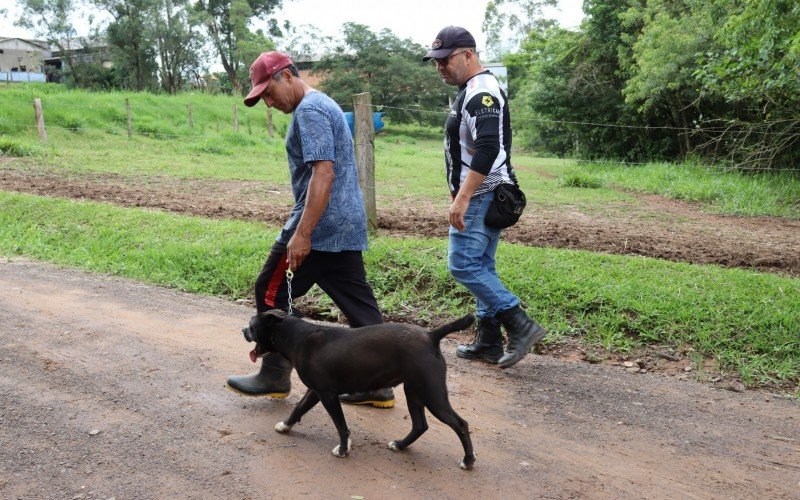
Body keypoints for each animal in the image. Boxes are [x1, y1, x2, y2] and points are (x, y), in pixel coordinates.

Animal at [238, 310, 476, 470]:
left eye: (252, 325)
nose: (243, 330)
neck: (295, 335)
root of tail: (431, 335)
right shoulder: (315, 391)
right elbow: (298, 408)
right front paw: (286, 426)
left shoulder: (327, 395)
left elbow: (341, 426)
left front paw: (343, 449)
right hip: (415, 392)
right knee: (420, 425)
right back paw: (400, 445)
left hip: (432, 394)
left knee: (460, 424)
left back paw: (468, 460)